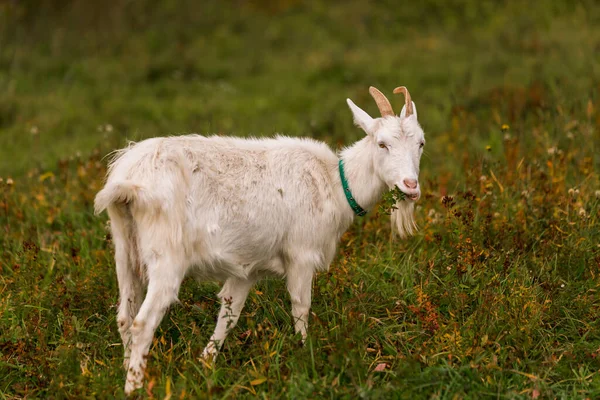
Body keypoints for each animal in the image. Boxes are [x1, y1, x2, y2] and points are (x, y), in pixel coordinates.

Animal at [95, 85, 426, 394]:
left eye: (421, 143)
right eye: (382, 143)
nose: (411, 186)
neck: (335, 183)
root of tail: (129, 181)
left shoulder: (246, 268)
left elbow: (229, 315)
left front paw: (206, 363)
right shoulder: (301, 254)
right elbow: (301, 306)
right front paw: (304, 354)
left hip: (125, 249)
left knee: (124, 317)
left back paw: (125, 370)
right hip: (167, 255)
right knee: (142, 322)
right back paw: (134, 387)